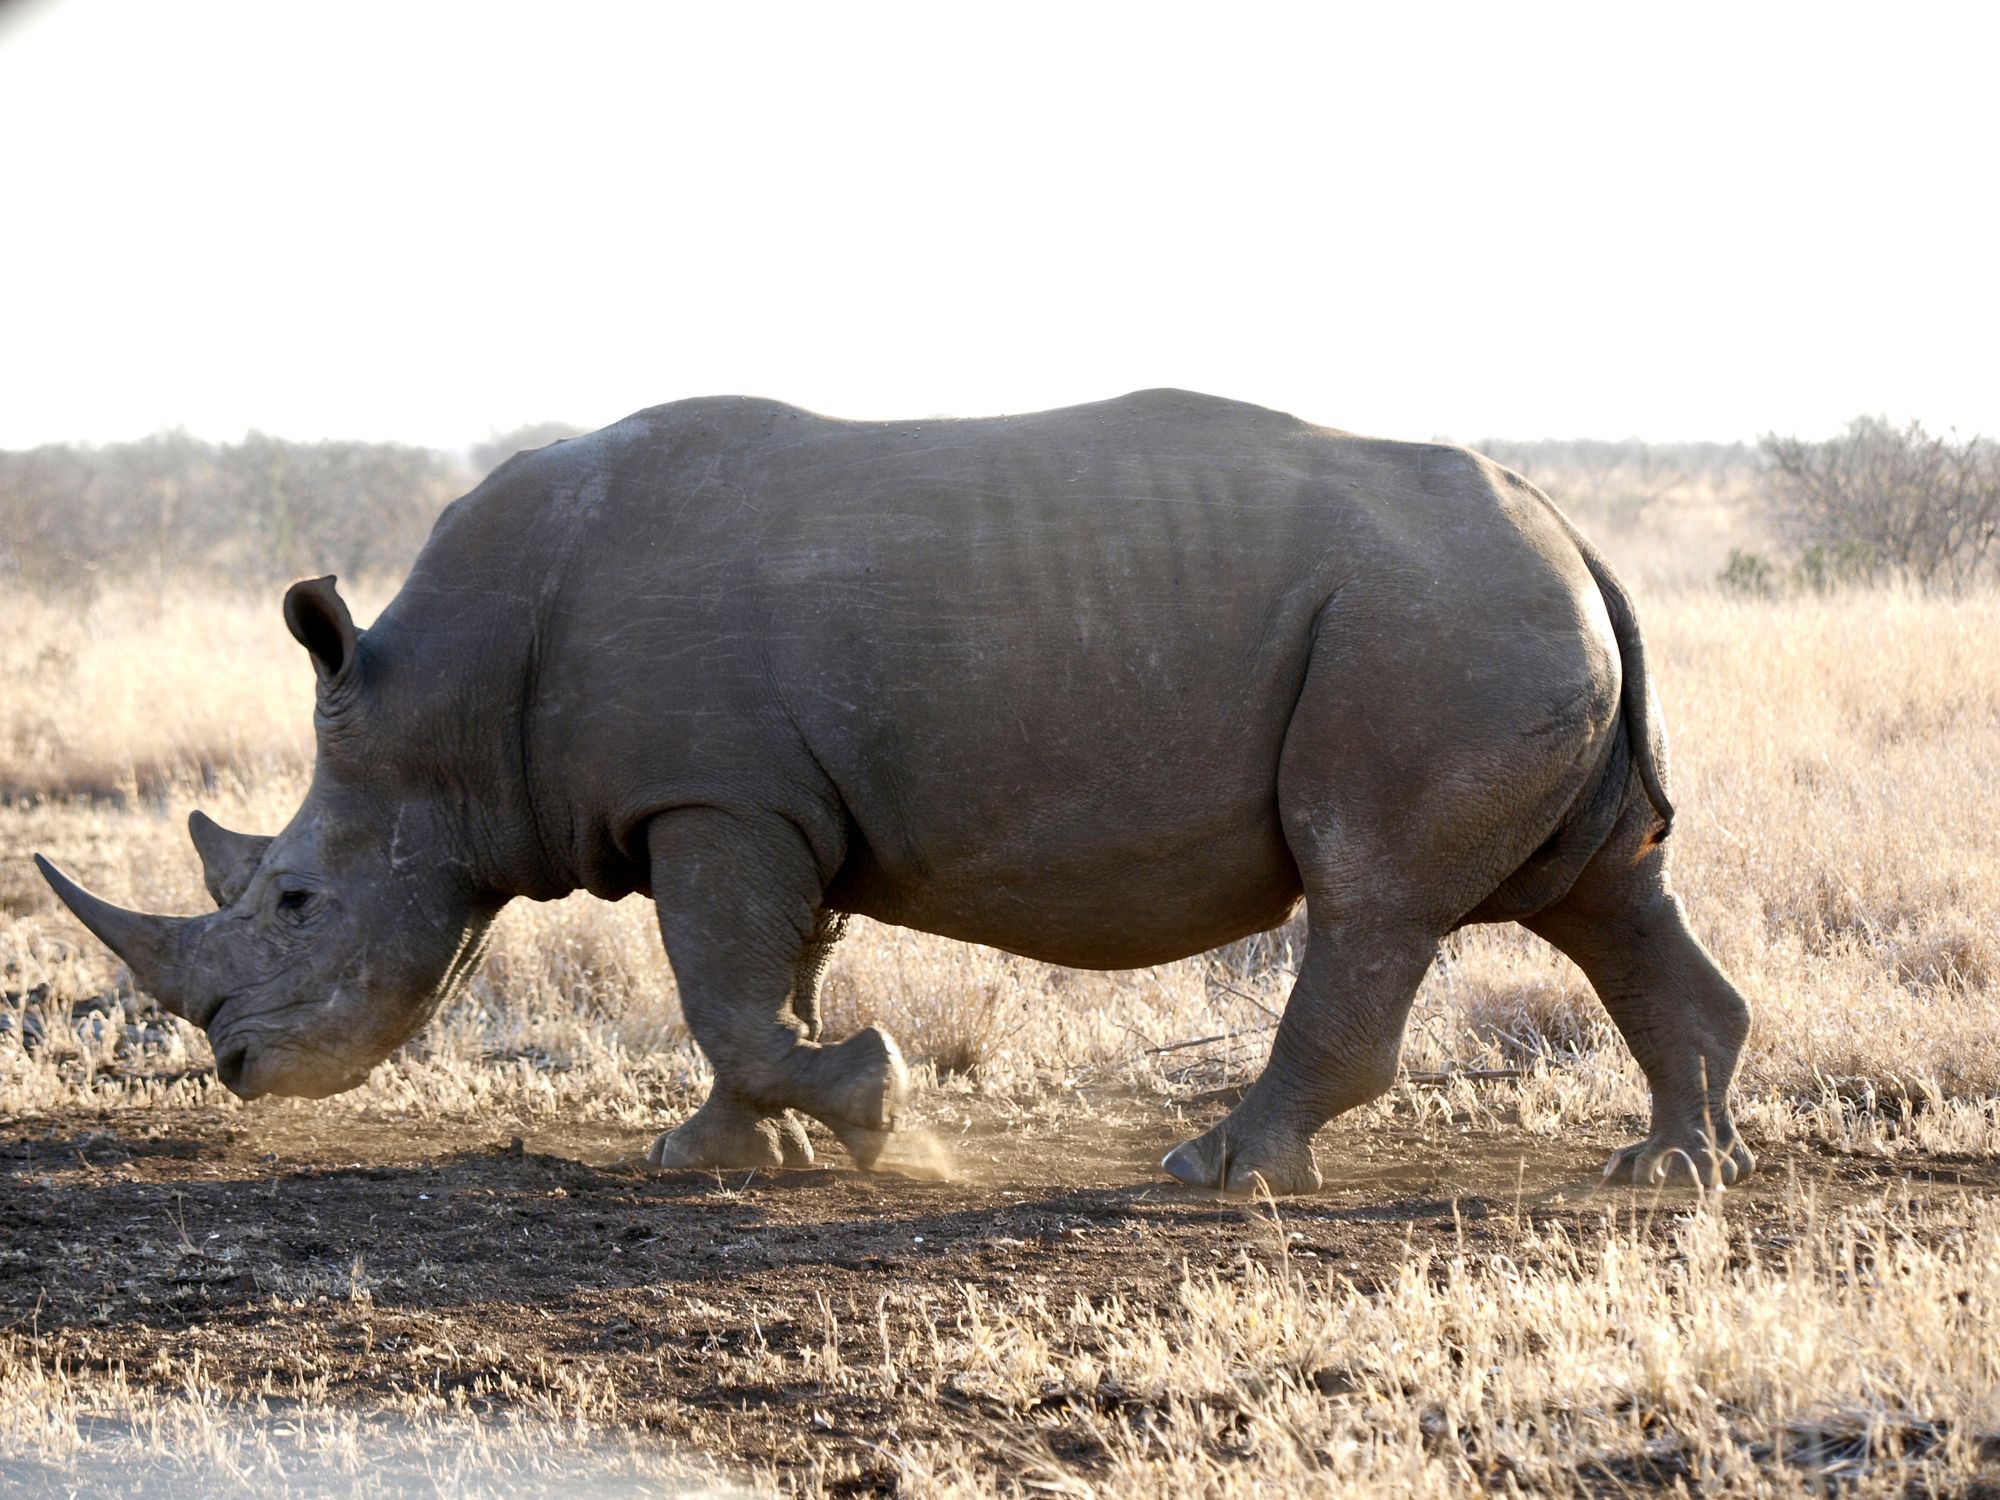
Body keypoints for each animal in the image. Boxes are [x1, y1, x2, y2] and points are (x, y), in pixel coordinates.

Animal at [36, 390, 1754, 1193]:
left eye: (295, 899)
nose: (239, 1068)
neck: (442, 709)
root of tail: (1568, 523)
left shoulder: (711, 801)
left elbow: (731, 994)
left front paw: (876, 1110)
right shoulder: (767, 808)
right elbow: (756, 990)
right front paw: (720, 1158)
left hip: (1432, 624)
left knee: (1373, 891)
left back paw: (1215, 1172)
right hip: (1489, 616)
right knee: (1601, 892)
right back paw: (1673, 1169)